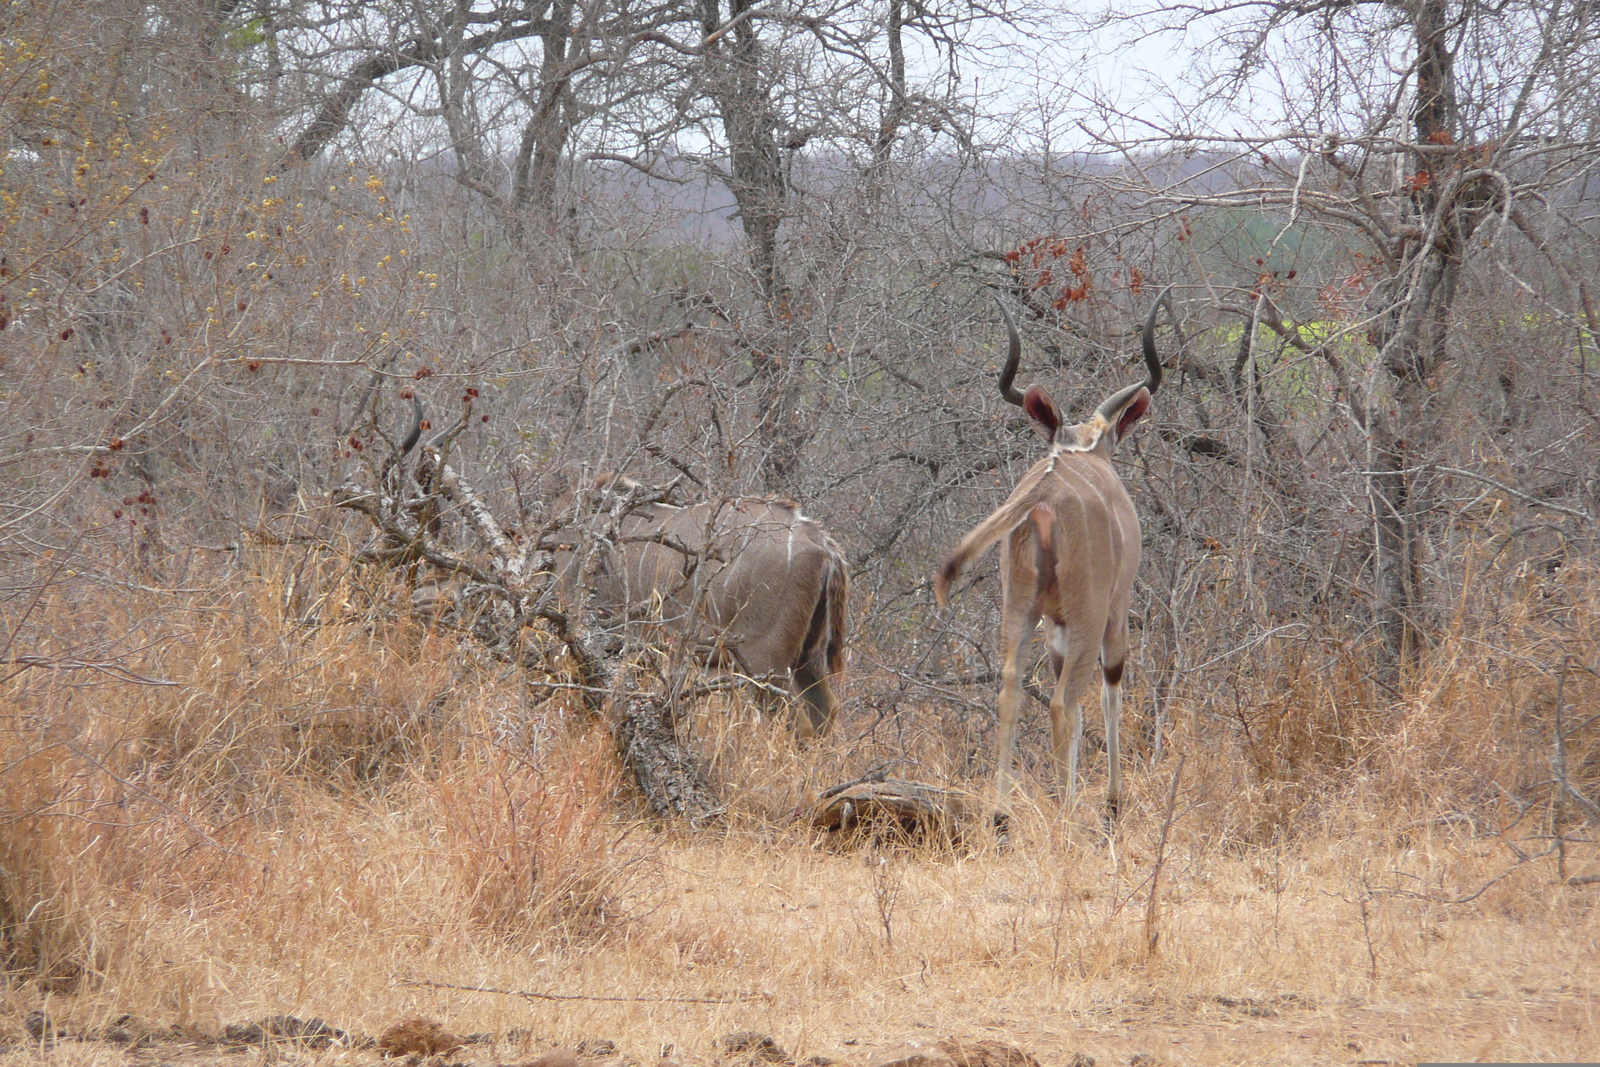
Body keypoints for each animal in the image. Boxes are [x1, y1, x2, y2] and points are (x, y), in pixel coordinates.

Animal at [934, 287, 1171, 825]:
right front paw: (1112, 803)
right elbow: (1107, 691)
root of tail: (1043, 495)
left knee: (1011, 688)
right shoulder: (1114, 610)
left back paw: (1001, 815)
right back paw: (1067, 815)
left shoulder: (1053, 623)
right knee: (1065, 701)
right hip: (1088, 612)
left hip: (1020, 608)